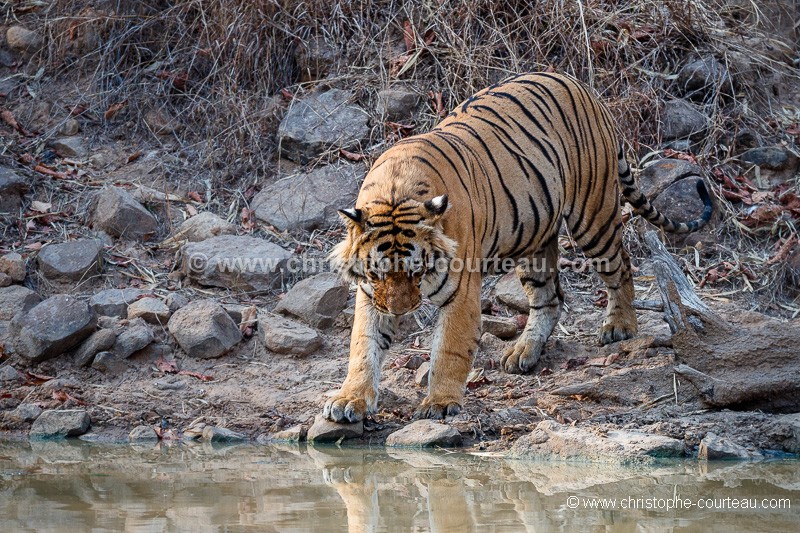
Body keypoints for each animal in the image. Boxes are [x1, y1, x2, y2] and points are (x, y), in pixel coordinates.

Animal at [322, 70, 708, 422]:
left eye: (418, 272)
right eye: (377, 273)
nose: (400, 312)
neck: (395, 192)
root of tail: (583, 86)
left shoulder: (461, 292)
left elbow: (448, 349)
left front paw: (440, 403)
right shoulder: (370, 295)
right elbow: (364, 346)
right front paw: (350, 399)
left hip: (592, 216)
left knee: (621, 266)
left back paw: (620, 325)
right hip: (534, 239)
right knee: (549, 299)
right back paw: (523, 351)